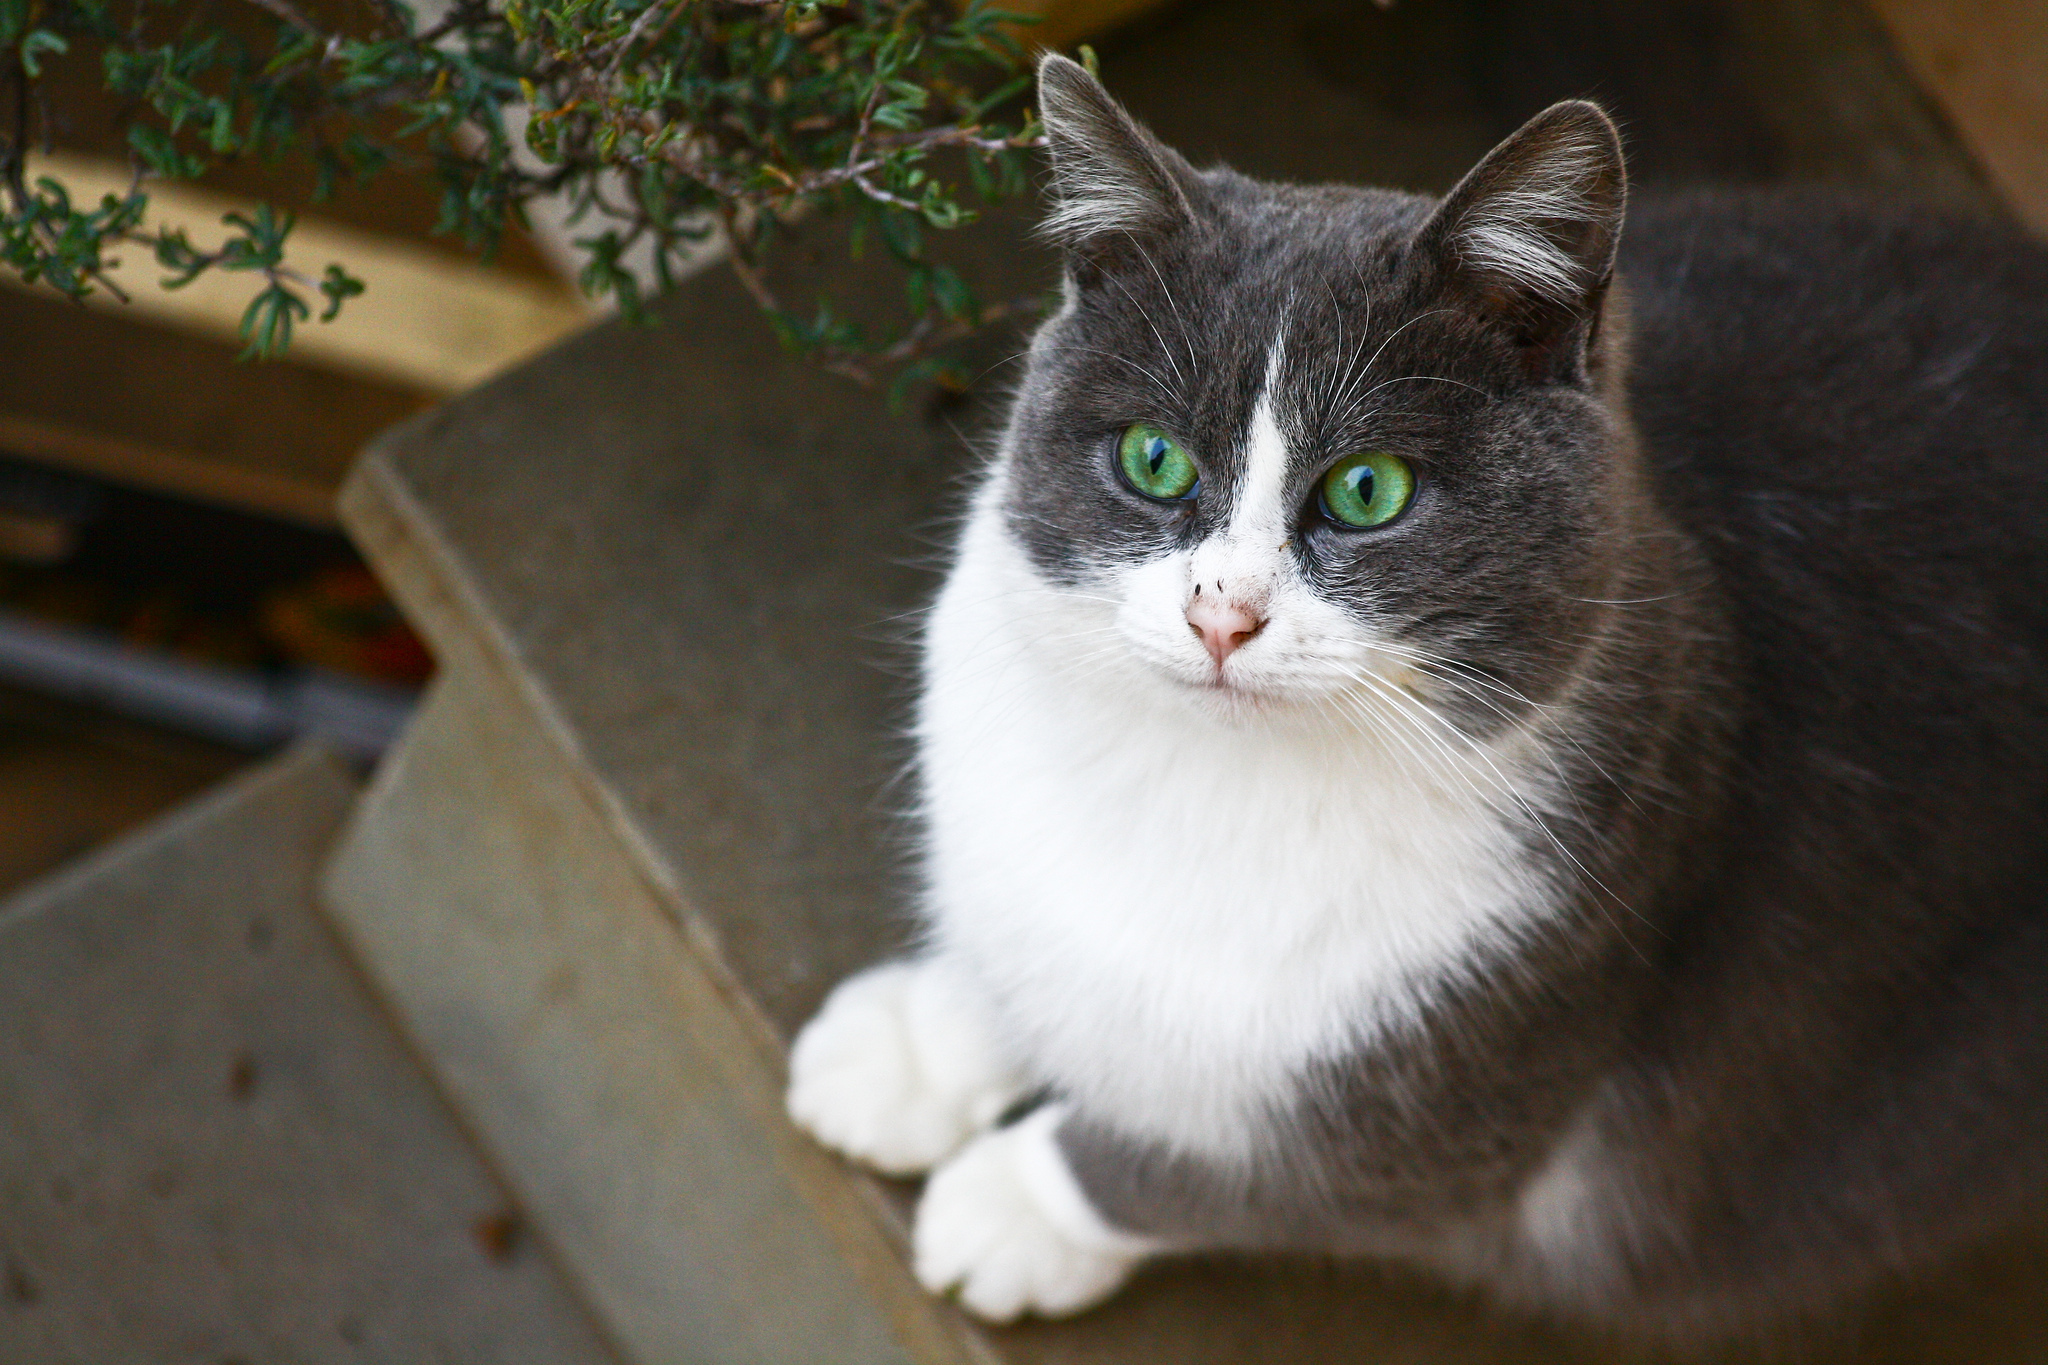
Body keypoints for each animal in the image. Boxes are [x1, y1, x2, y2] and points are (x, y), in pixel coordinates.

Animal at [774, 53, 2048, 1334]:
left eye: (1367, 490)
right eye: (1152, 460)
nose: (1220, 616)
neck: (1207, 784)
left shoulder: (1470, 1083)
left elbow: (1203, 1174)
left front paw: (1014, 1209)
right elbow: (1021, 953)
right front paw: (913, 1045)